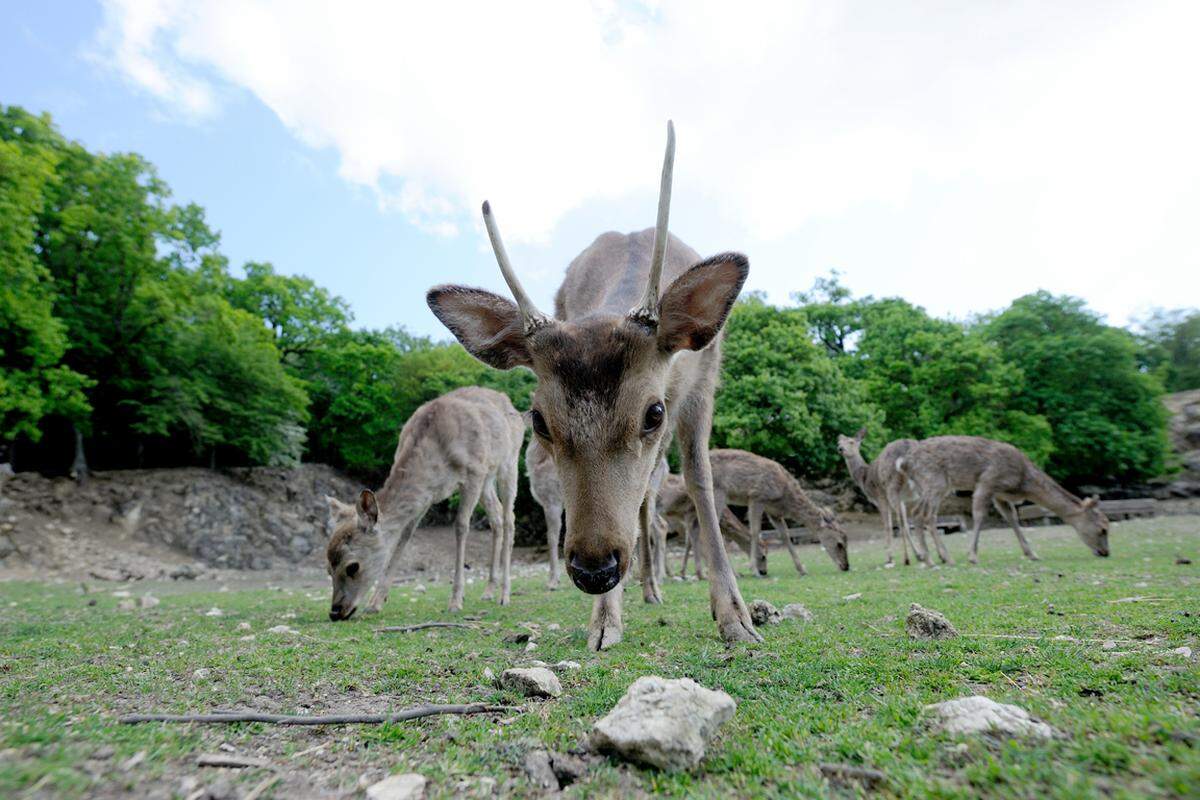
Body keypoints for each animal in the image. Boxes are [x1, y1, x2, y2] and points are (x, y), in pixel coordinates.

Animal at [324, 386, 525, 618]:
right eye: (328, 568)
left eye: (352, 566)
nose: (336, 611)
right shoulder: (428, 495)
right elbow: (405, 535)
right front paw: (376, 602)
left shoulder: (473, 472)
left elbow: (460, 526)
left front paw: (455, 601)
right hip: (487, 479)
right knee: (496, 516)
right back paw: (488, 591)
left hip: (508, 462)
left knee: (509, 517)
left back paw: (504, 594)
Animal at [424, 125, 758, 652]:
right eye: (540, 420)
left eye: (653, 412)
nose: (594, 569)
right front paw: (604, 622)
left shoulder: (702, 385)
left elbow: (701, 481)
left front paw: (735, 618)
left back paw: (656, 587)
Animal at [705, 448, 849, 578]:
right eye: (840, 544)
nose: (846, 566)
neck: (785, 498)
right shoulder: (757, 497)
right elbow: (755, 531)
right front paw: (754, 569)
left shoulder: (774, 512)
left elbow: (785, 535)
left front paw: (802, 569)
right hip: (718, 491)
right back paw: (733, 573)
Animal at [835, 429, 926, 566]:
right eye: (839, 442)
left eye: (851, 442)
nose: (840, 448)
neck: (864, 478)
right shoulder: (902, 500)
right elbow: (906, 524)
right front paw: (918, 555)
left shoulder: (880, 497)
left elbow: (888, 525)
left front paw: (889, 558)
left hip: (892, 485)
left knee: (900, 521)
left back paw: (906, 559)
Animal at [897, 438, 1108, 563]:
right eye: (1102, 529)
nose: (1106, 552)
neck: (1022, 483)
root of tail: (904, 463)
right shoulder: (987, 481)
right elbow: (979, 515)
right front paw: (972, 555)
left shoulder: (1000, 495)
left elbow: (1012, 518)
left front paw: (1031, 554)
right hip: (934, 481)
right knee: (923, 514)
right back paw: (938, 558)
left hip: (927, 486)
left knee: (921, 515)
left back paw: (935, 556)